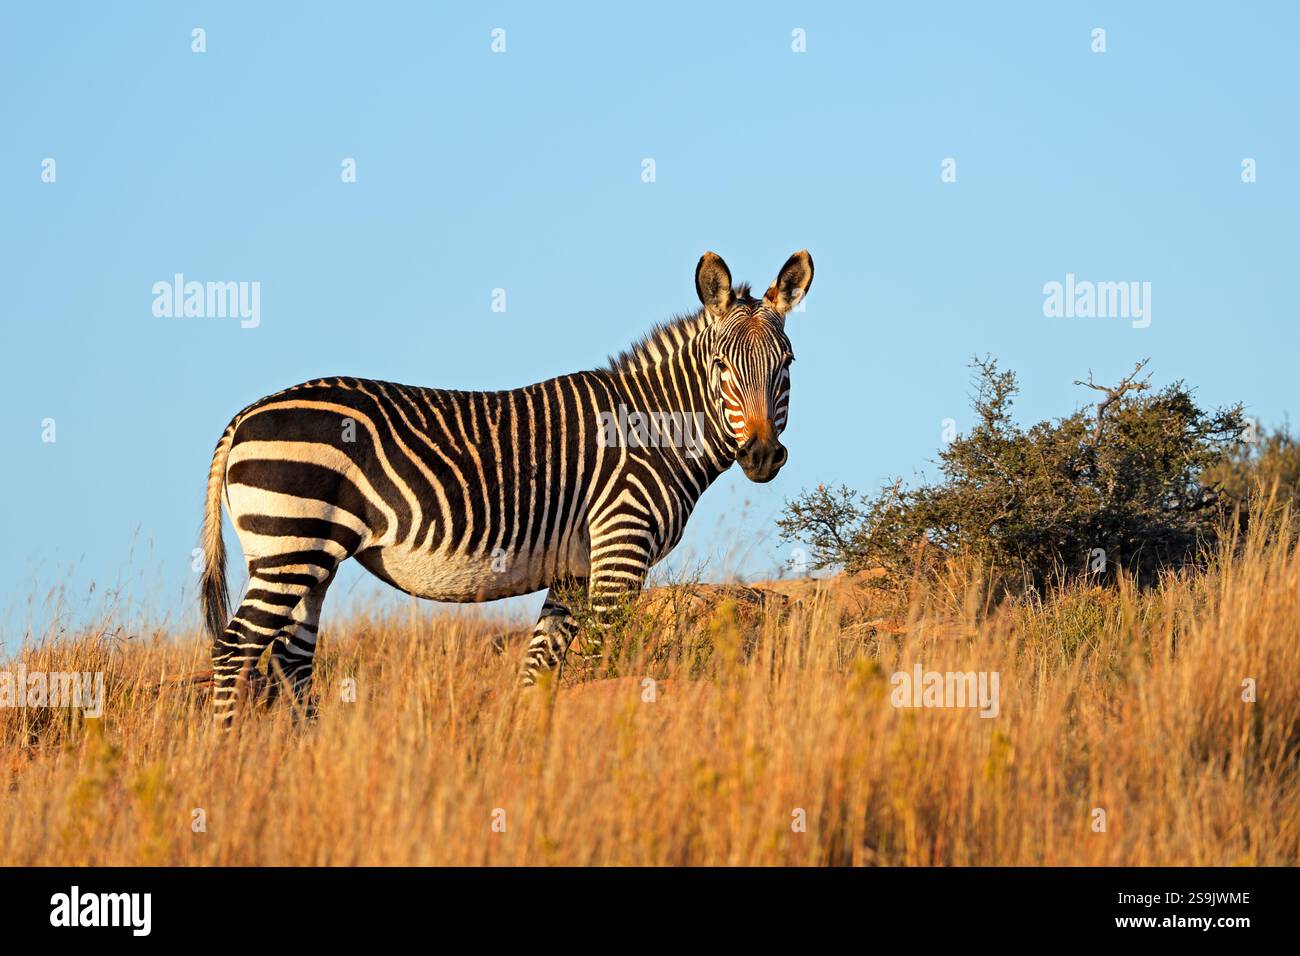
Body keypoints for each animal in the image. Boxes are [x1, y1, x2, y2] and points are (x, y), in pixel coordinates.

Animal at [200, 250, 813, 724]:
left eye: (787, 363)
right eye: (721, 365)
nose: (761, 455)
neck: (654, 428)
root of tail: (244, 417)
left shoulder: (574, 569)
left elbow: (539, 670)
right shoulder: (620, 546)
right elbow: (603, 660)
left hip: (307, 558)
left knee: (291, 659)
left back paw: (306, 755)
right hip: (290, 544)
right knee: (235, 649)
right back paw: (227, 757)